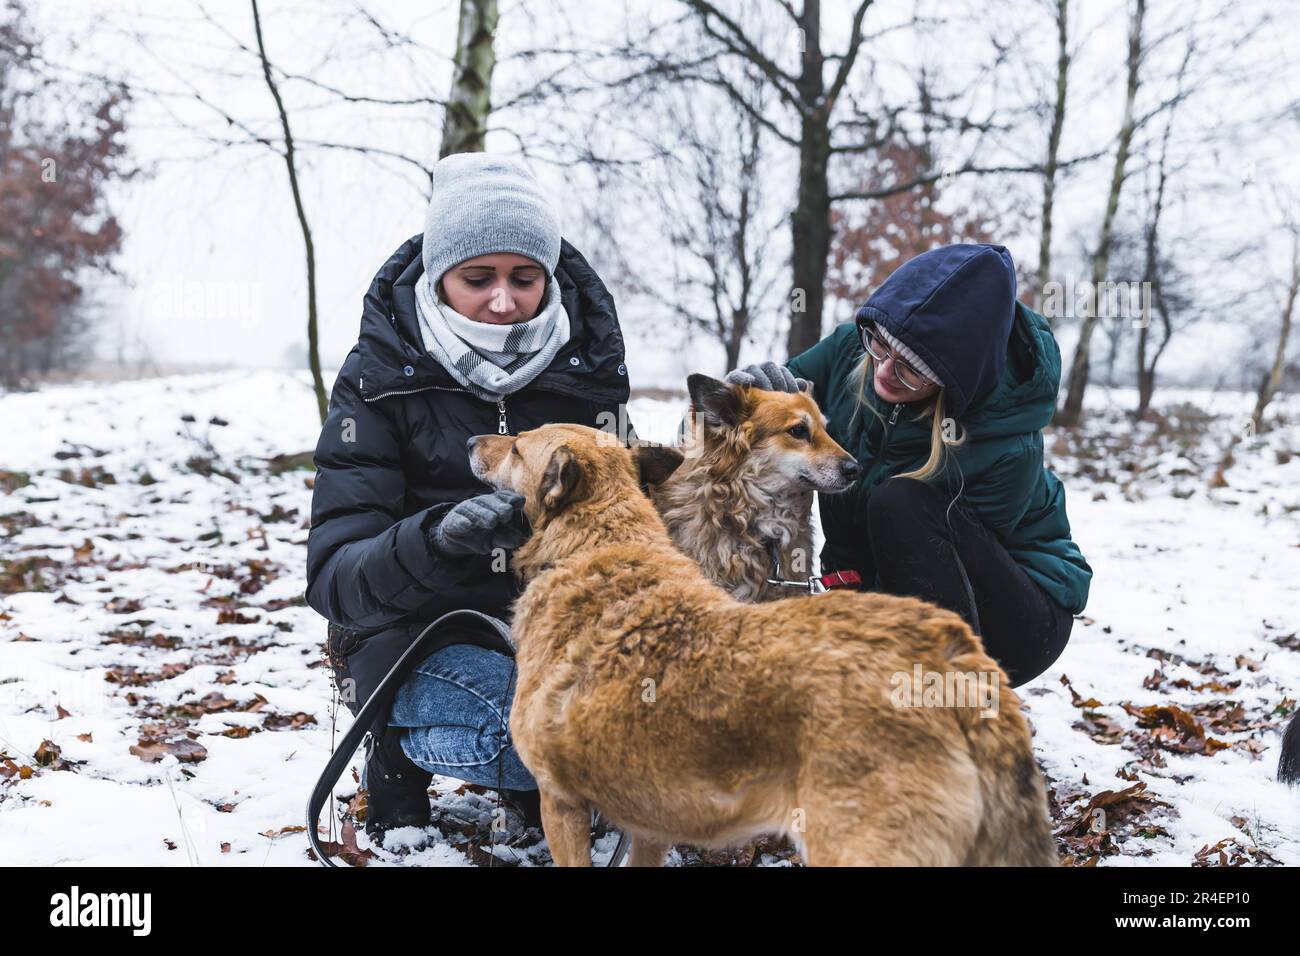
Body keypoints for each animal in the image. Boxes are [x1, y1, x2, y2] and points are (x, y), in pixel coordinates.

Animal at [467, 426, 1055, 868]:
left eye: (516, 446)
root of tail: (953, 656)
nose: (474, 440)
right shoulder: (650, 823)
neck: (600, 545)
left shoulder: (561, 802)